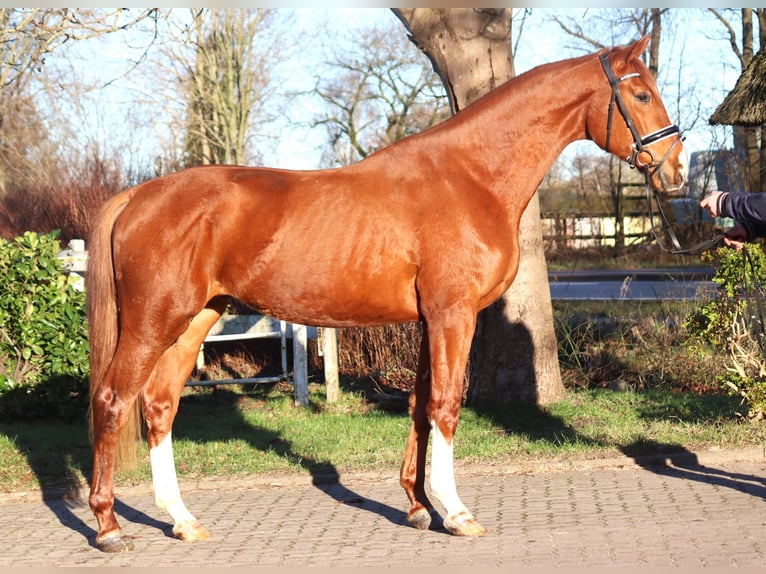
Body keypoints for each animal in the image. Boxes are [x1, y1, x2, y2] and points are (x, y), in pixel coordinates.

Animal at [87, 37, 688, 552]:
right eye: (640, 94)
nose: (677, 171)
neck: (471, 176)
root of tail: (138, 196)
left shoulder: (429, 319)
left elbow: (421, 405)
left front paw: (419, 506)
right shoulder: (453, 315)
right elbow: (446, 404)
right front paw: (455, 512)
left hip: (195, 321)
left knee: (159, 405)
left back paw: (183, 520)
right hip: (153, 322)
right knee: (113, 399)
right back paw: (109, 525)